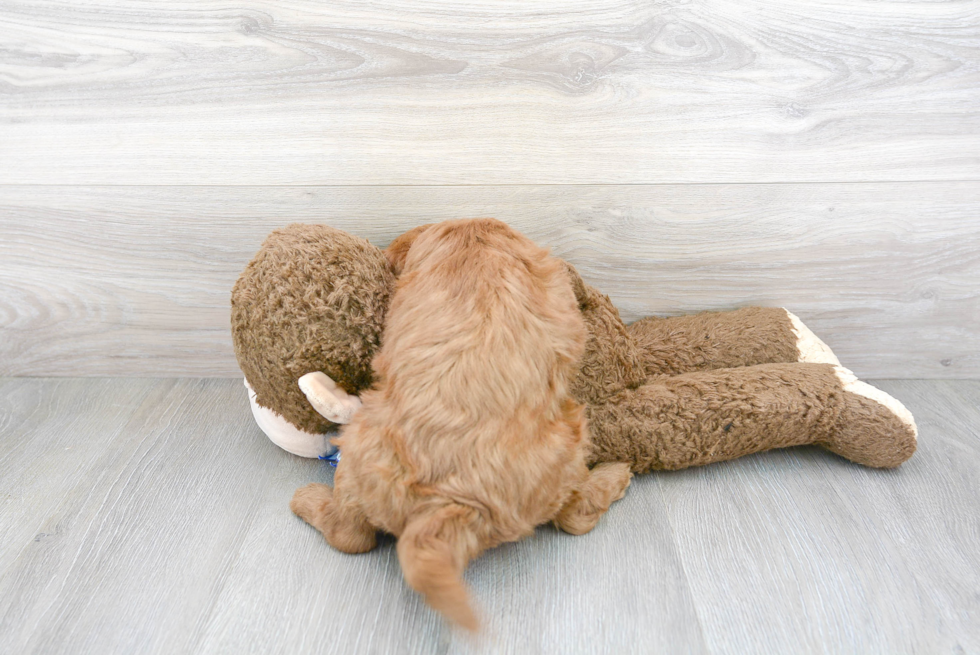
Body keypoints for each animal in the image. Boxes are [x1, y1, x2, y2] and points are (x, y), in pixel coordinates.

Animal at [290, 219, 632, 632]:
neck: (474, 234)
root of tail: (448, 503)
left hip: (360, 452)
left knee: (349, 535)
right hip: (567, 446)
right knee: (574, 514)